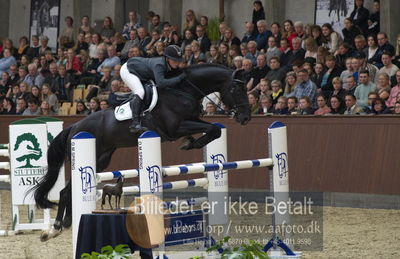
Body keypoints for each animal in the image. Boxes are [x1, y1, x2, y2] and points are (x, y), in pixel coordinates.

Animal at [32, 64, 250, 243]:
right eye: (236, 89)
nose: (246, 117)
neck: (183, 91)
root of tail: (74, 127)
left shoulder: (191, 121)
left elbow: (215, 129)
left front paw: (191, 142)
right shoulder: (176, 128)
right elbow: (212, 129)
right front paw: (190, 144)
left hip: (102, 159)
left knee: (67, 191)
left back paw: (63, 225)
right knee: (65, 191)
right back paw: (55, 228)